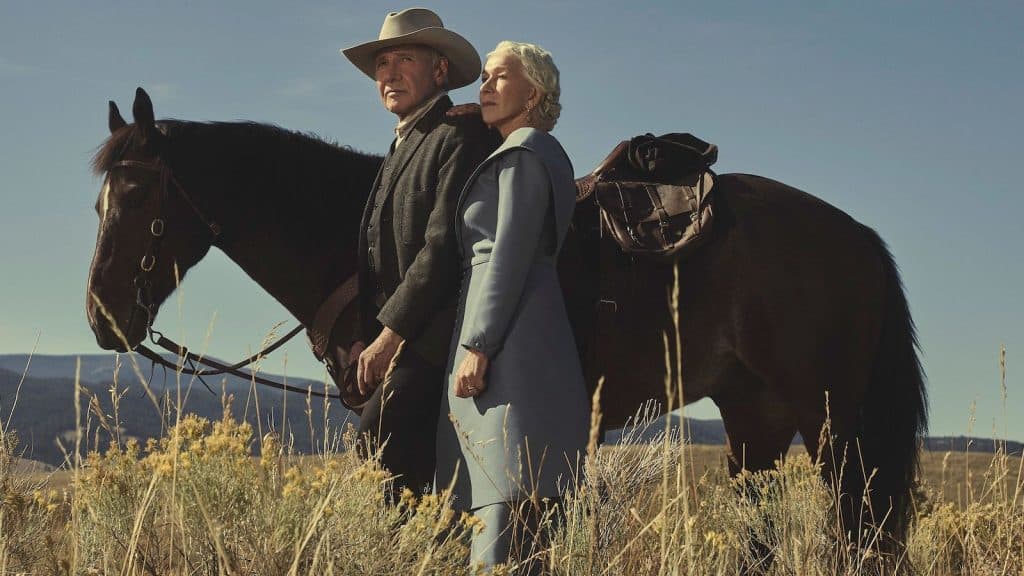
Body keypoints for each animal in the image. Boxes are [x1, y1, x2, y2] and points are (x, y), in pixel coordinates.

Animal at [88, 88, 929, 545]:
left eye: (133, 193)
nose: (102, 318)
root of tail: (857, 237)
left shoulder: (402, 424)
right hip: (755, 418)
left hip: (831, 422)